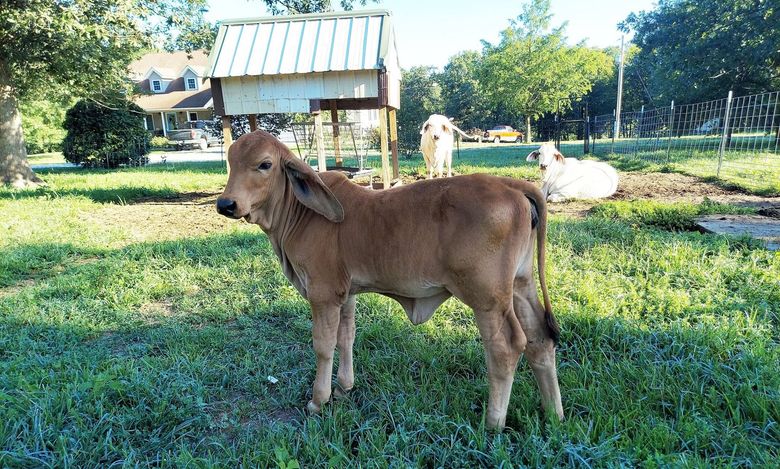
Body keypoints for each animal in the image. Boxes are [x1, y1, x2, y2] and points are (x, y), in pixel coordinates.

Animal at [216, 131, 563, 430]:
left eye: (264, 164)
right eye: (231, 162)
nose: (225, 204)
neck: (299, 213)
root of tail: (512, 186)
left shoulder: (323, 294)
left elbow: (323, 346)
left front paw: (319, 399)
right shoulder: (346, 294)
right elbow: (346, 337)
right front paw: (344, 387)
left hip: (487, 299)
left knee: (506, 349)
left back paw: (493, 423)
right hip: (520, 285)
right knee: (540, 339)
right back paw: (554, 414)